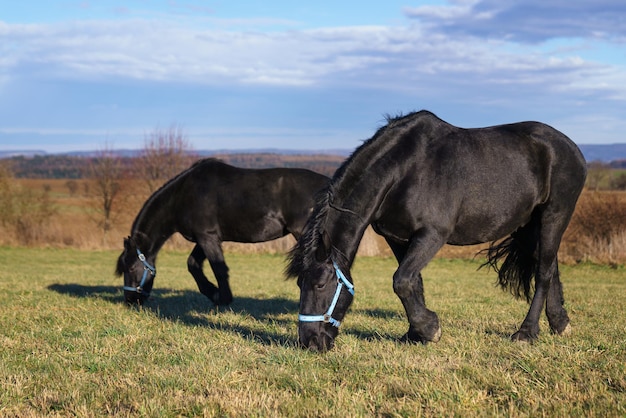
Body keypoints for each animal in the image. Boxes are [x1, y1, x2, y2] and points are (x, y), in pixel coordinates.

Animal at [118, 158, 332, 306]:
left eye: (130, 268)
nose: (130, 300)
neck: (182, 195)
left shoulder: (207, 237)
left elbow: (218, 269)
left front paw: (223, 298)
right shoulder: (205, 238)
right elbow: (193, 264)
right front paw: (214, 294)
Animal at [288, 110, 584, 350]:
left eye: (320, 284)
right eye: (300, 283)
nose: (309, 342)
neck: (403, 171)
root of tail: (570, 147)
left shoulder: (432, 234)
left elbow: (401, 280)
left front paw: (430, 329)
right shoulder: (397, 237)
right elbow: (412, 282)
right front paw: (415, 333)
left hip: (555, 215)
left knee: (543, 273)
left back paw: (527, 332)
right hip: (532, 223)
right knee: (549, 265)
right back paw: (560, 324)